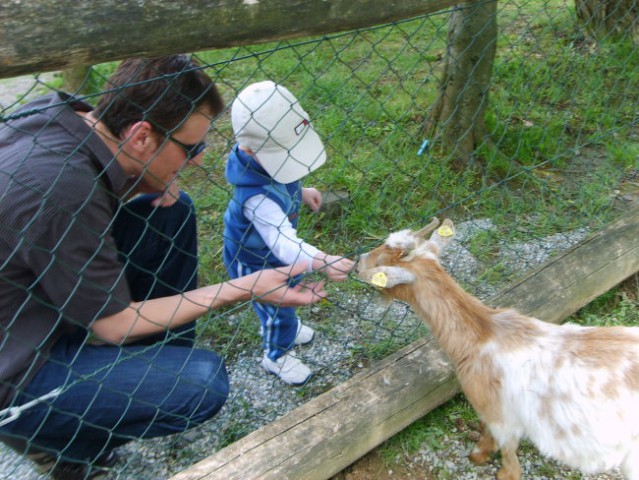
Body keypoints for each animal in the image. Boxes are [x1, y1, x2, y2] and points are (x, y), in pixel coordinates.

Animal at [358, 218, 639, 480]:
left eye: (380, 260)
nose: (359, 261)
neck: (483, 334)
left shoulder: (497, 412)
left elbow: (510, 462)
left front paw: (481, 457)